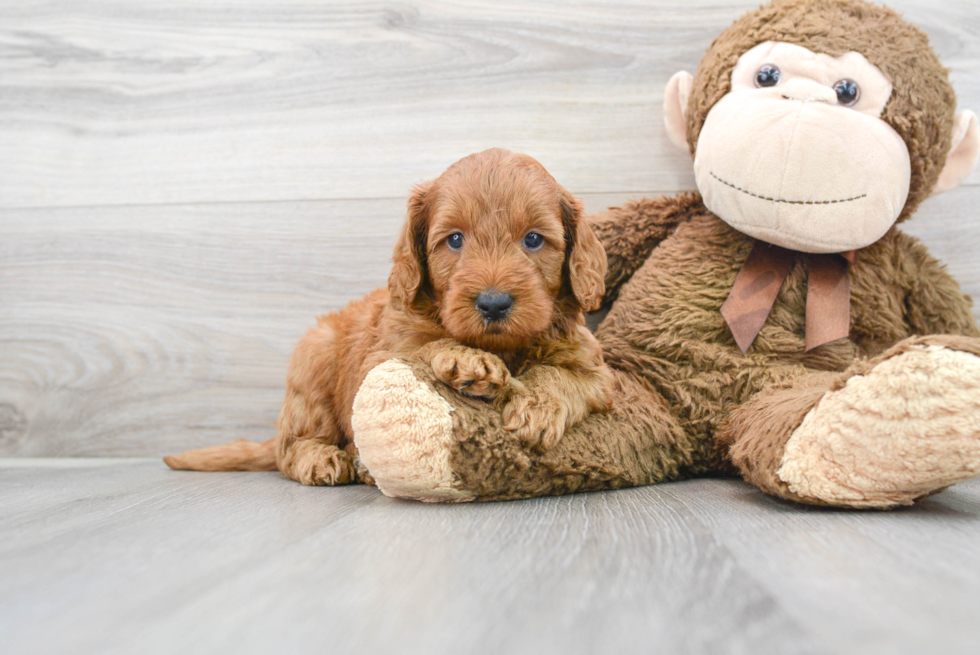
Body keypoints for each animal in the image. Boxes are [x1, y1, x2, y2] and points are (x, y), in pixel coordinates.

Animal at [167, 149, 612, 486]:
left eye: (534, 239)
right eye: (454, 240)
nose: (493, 302)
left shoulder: (595, 368)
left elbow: (561, 375)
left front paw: (536, 407)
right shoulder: (379, 358)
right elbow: (424, 345)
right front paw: (467, 360)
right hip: (313, 365)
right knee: (289, 448)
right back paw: (323, 459)